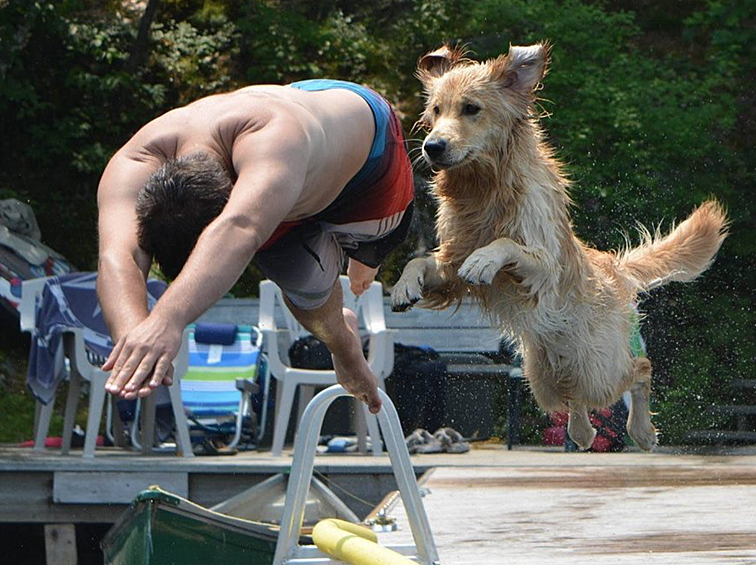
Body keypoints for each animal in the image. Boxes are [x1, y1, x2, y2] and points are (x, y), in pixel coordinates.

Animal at [390, 43, 728, 450]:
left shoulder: (543, 265)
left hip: (600, 366)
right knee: (573, 396)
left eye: (471, 108)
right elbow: (422, 262)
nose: (432, 146)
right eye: (436, 110)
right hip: (542, 376)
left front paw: (484, 260)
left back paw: (642, 432)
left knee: (639, 371)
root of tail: (612, 266)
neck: (486, 188)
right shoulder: (450, 266)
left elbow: (506, 244)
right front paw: (403, 286)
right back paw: (582, 432)